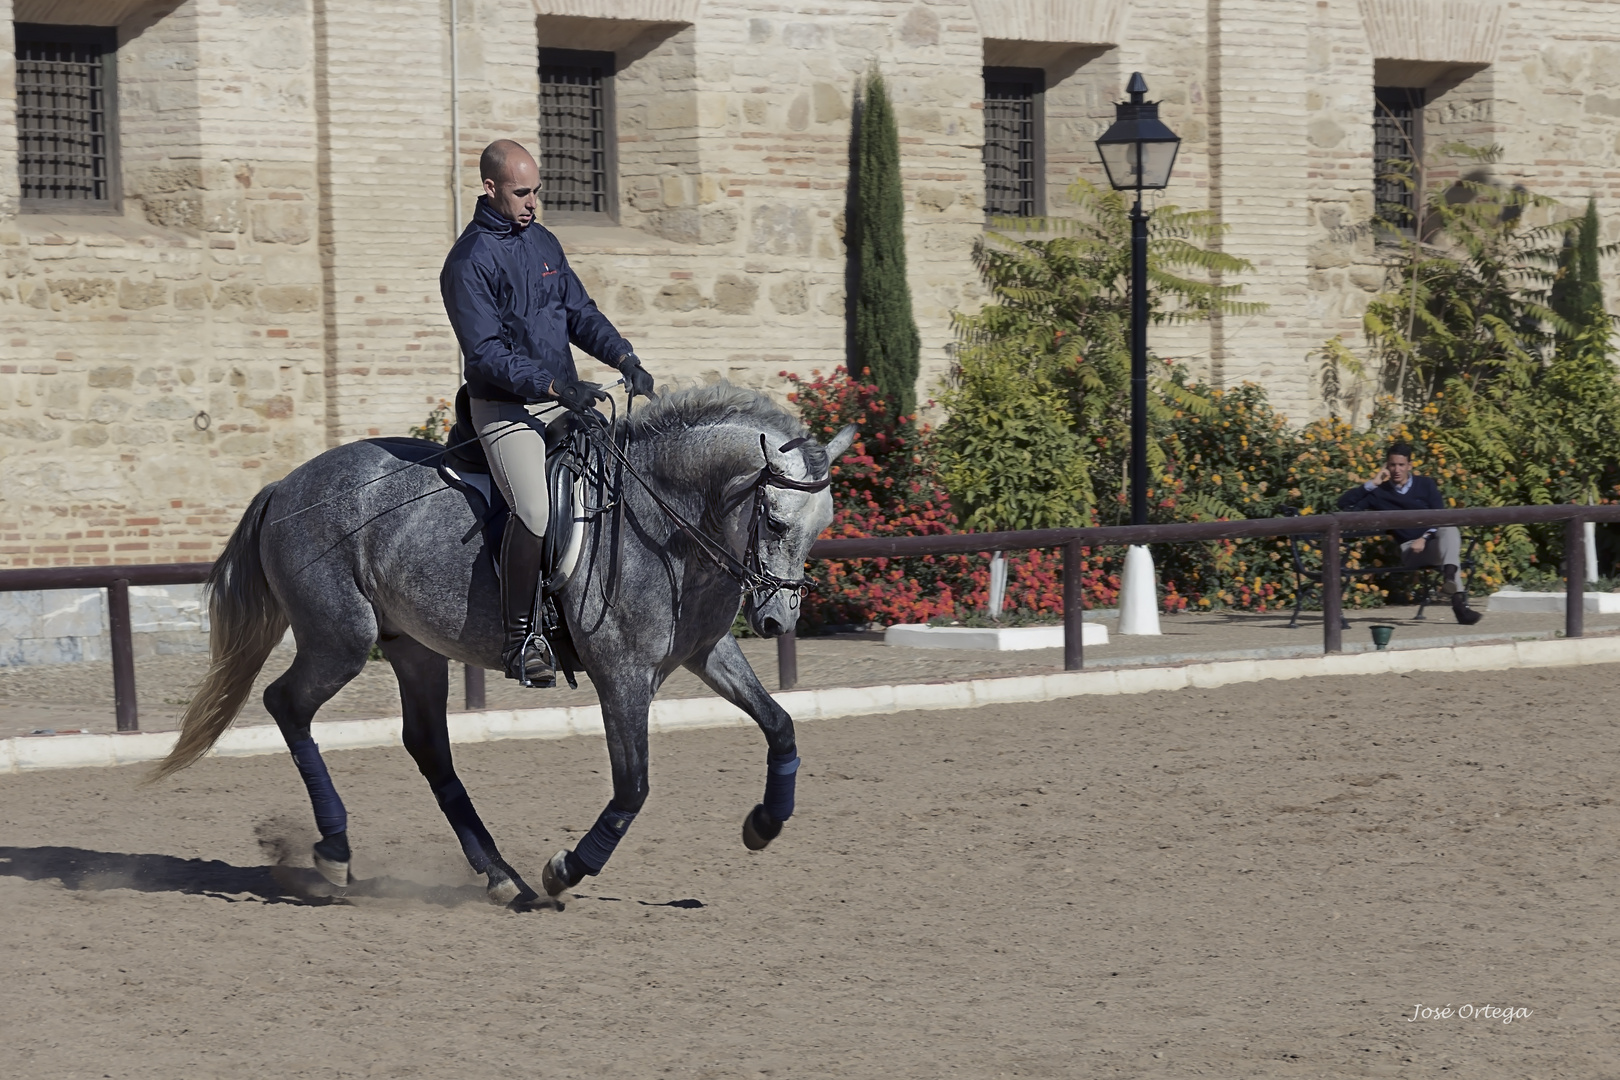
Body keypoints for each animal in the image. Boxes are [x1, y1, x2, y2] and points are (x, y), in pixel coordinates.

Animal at [153, 383, 861, 906]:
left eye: (822, 525)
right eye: (776, 521)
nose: (777, 622)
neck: (663, 521)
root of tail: (285, 486)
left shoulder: (705, 653)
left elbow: (780, 723)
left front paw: (764, 824)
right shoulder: (623, 674)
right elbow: (633, 788)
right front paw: (566, 870)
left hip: (411, 646)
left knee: (427, 746)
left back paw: (499, 876)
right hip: (342, 639)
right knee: (288, 705)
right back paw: (336, 853)